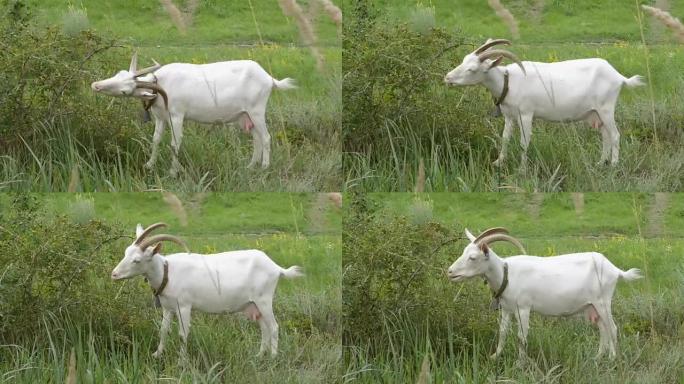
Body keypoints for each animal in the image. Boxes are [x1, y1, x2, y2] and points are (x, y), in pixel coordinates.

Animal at [91, 53, 294, 176]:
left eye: (125, 91)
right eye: (119, 74)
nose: (96, 85)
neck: (161, 85)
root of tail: (269, 79)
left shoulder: (176, 115)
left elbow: (175, 143)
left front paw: (173, 172)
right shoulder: (160, 117)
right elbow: (156, 139)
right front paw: (149, 165)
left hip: (257, 110)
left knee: (266, 137)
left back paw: (265, 168)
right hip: (245, 115)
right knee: (256, 138)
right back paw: (251, 166)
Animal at [111, 222, 304, 356]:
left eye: (136, 260)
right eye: (126, 253)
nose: (114, 274)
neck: (167, 271)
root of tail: (276, 268)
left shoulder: (184, 306)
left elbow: (182, 334)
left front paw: (182, 362)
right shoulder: (168, 307)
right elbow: (163, 330)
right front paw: (157, 354)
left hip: (264, 299)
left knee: (274, 327)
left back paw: (273, 357)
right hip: (253, 304)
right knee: (264, 327)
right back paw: (259, 355)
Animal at [444, 39, 648, 167]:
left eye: (472, 69)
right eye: (463, 60)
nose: (447, 78)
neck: (507, 81)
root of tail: (618, 76)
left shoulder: (526, 114)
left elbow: (524, 142)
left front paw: (522, 170)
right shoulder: (509, 116)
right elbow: (505, 138)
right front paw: (498, 163)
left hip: (606, 109)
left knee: (615, 135)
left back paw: (613, 165)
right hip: (595, 113)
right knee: (605, 135)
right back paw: (600, 163)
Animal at [446, 226, 644, 358]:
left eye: (473, 257)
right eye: (464, 252)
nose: (450, 272)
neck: (506, 274)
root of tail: (614, 269)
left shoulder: (523, 308)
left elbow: (521, 337)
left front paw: (520, 364)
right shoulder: (507, 309)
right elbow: (502, 332)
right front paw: (495, 356)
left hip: (603, 301)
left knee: (612, 328)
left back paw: (612, 359)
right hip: (592, 305)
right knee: (603, 328)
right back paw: (598, 358)